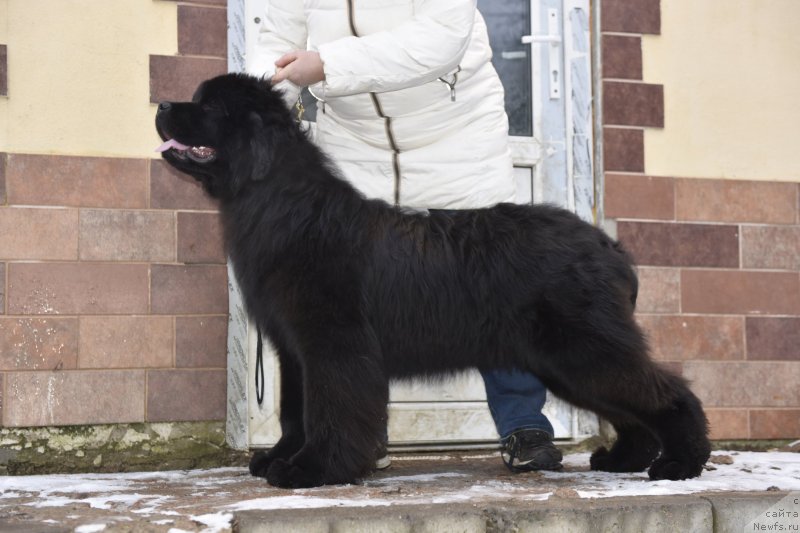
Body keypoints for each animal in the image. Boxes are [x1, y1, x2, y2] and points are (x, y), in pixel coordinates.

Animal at [156, 72, 712, 488]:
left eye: (209, 107)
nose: (160, 103)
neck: (283, 205)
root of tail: (609, 247)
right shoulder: (293, 349)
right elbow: (296, 410)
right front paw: (280, 457)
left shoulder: (333, 343)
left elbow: (329, 408)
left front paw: (312, 469)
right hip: (564, 360)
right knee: (630, 404)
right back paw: (625, 459)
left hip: (581, 349)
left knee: (666, 392)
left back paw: (680, 462)